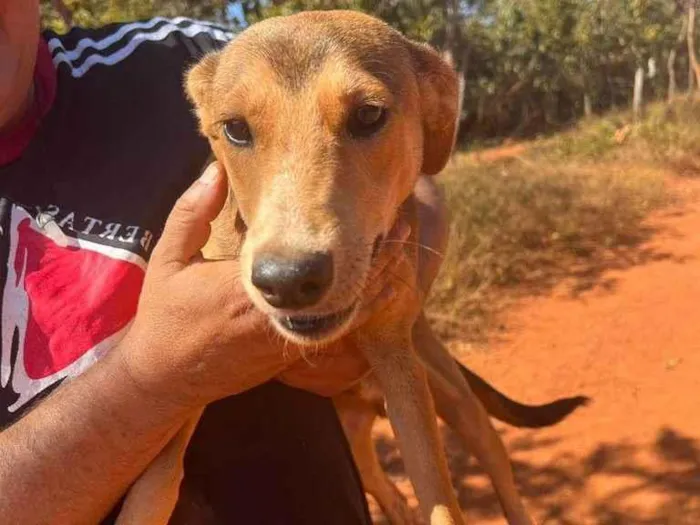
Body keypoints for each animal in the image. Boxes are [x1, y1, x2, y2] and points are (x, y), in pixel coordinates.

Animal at [115, 12, 584, 524]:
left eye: (368, 115)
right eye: (235, 127)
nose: (288, 280)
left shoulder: (400, 365)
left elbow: (440, 500)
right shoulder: (190, 382)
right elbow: (156, 486)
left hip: (453, 398)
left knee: (494, 469)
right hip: (358, 434)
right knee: (391, 494)